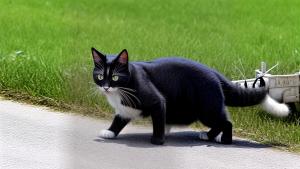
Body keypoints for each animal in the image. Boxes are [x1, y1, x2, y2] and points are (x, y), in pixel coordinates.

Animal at [91, 47, 288, 145]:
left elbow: (158, 121)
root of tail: (214, 73)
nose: (106, 87)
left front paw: (158, 140)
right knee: (221, 121)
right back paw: (208, 136)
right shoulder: (124, 109)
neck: (121, 90)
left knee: (226, 122)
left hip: (207, 108)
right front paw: (110, 132)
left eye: (115, 77)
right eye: (100, 77)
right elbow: (119, 119)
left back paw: (224, 140)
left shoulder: (156, 101)